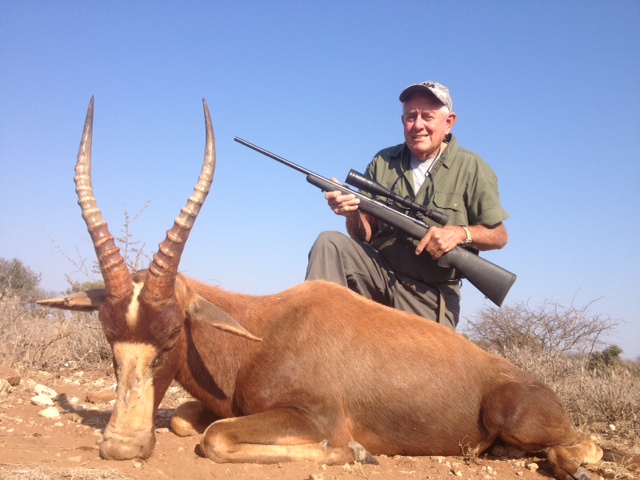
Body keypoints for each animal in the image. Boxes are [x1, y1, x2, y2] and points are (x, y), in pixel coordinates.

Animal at [38, 98, 602, 480]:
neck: (263, 331)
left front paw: (353, 451)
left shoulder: (314, 417)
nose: (120, 448)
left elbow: (216, 438)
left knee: (587, 444)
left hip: (523, 419)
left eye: (172, 335)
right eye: (109, 338)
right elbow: (184, 421)